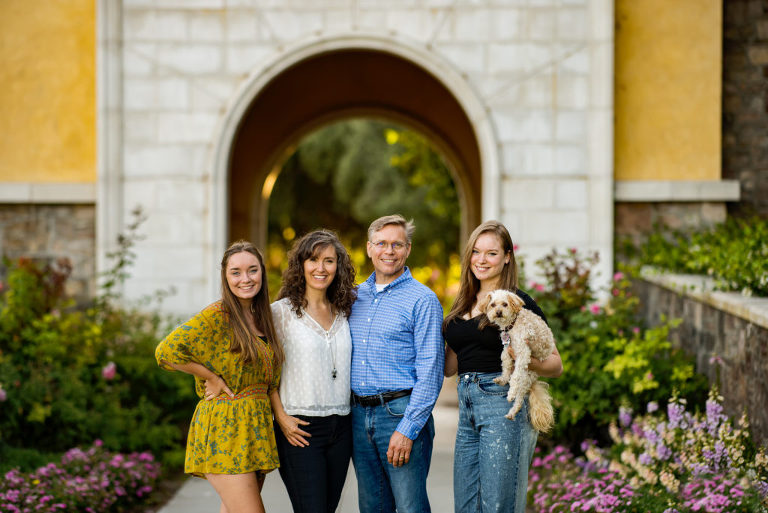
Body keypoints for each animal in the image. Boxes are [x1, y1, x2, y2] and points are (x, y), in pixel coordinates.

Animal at [476, 290, 556, 430]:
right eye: (493, 305)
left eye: (505, 304)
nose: (498, 312)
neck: (513, 324)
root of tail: (534, 378)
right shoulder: (508, 348)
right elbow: (506, 363)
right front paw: (502, 379)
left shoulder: (523, 353)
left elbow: (515, 377)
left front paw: (510, 393)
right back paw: (511, 413)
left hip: (526, 376)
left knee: (519, 396)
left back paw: (513, 401)